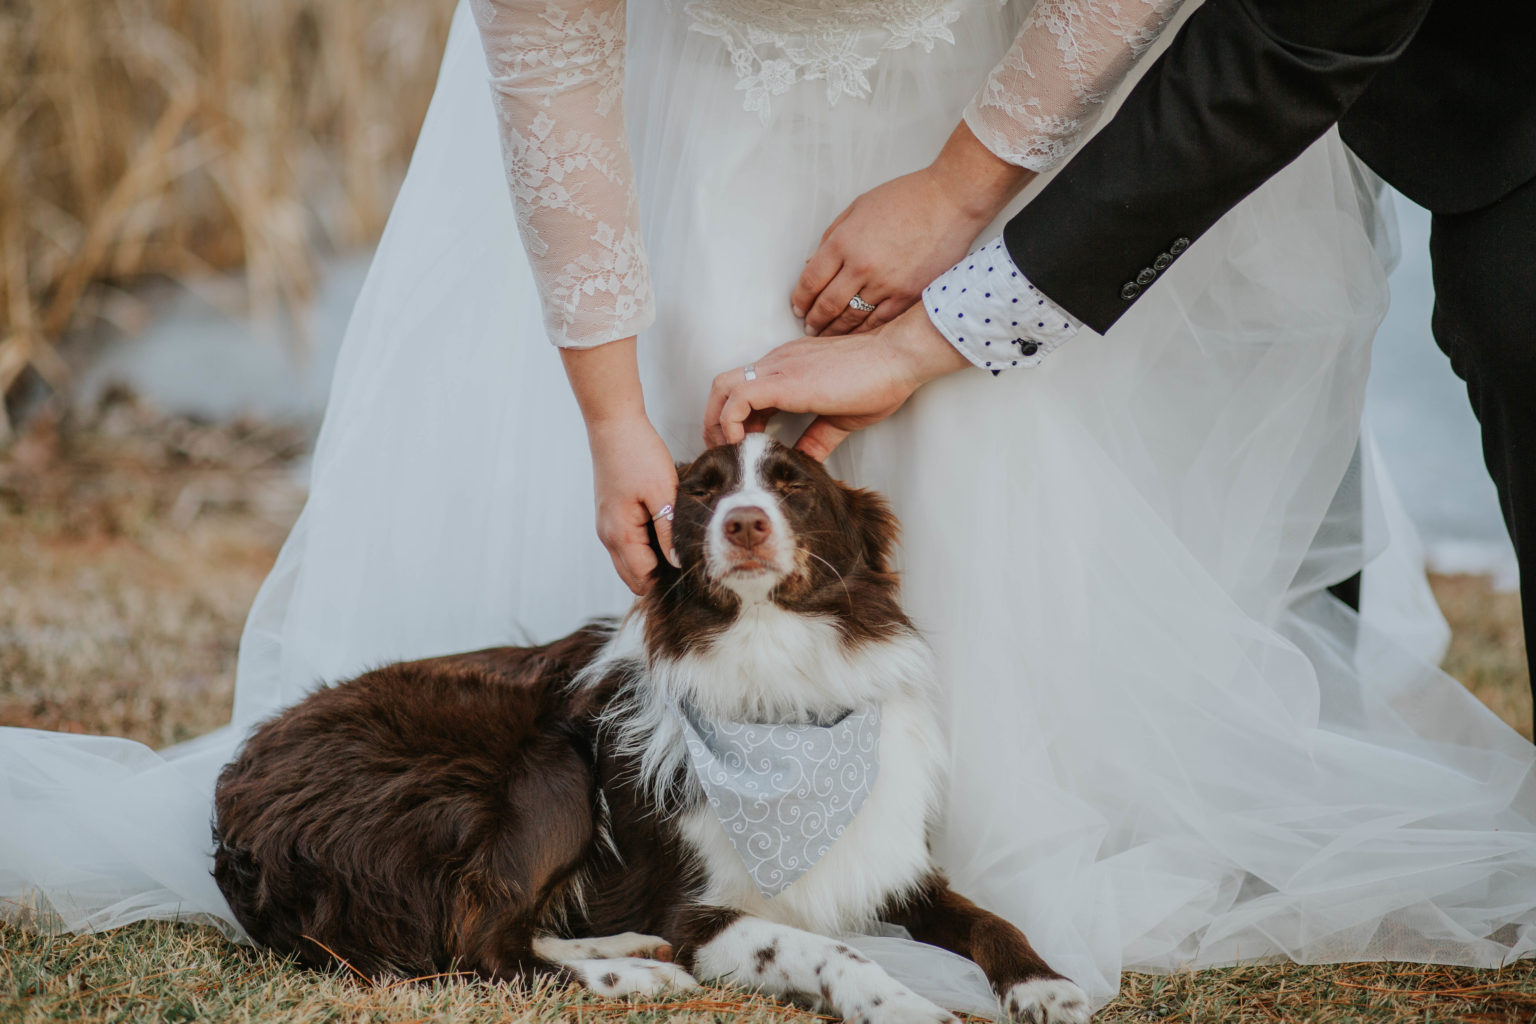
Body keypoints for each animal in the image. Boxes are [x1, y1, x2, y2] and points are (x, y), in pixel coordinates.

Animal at [213, 436, 1093, 1024]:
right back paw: (635, 976)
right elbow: (824, 946)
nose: (744, 523)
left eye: (793, 485)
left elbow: (988, 916)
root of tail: (236, 812)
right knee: (477, 945)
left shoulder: (891, 859)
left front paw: (1045, 984)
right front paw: (903, 1003)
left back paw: (620, 949)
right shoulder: (694, 910)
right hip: (551, 764)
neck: (774, 683)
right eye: (700, 493)